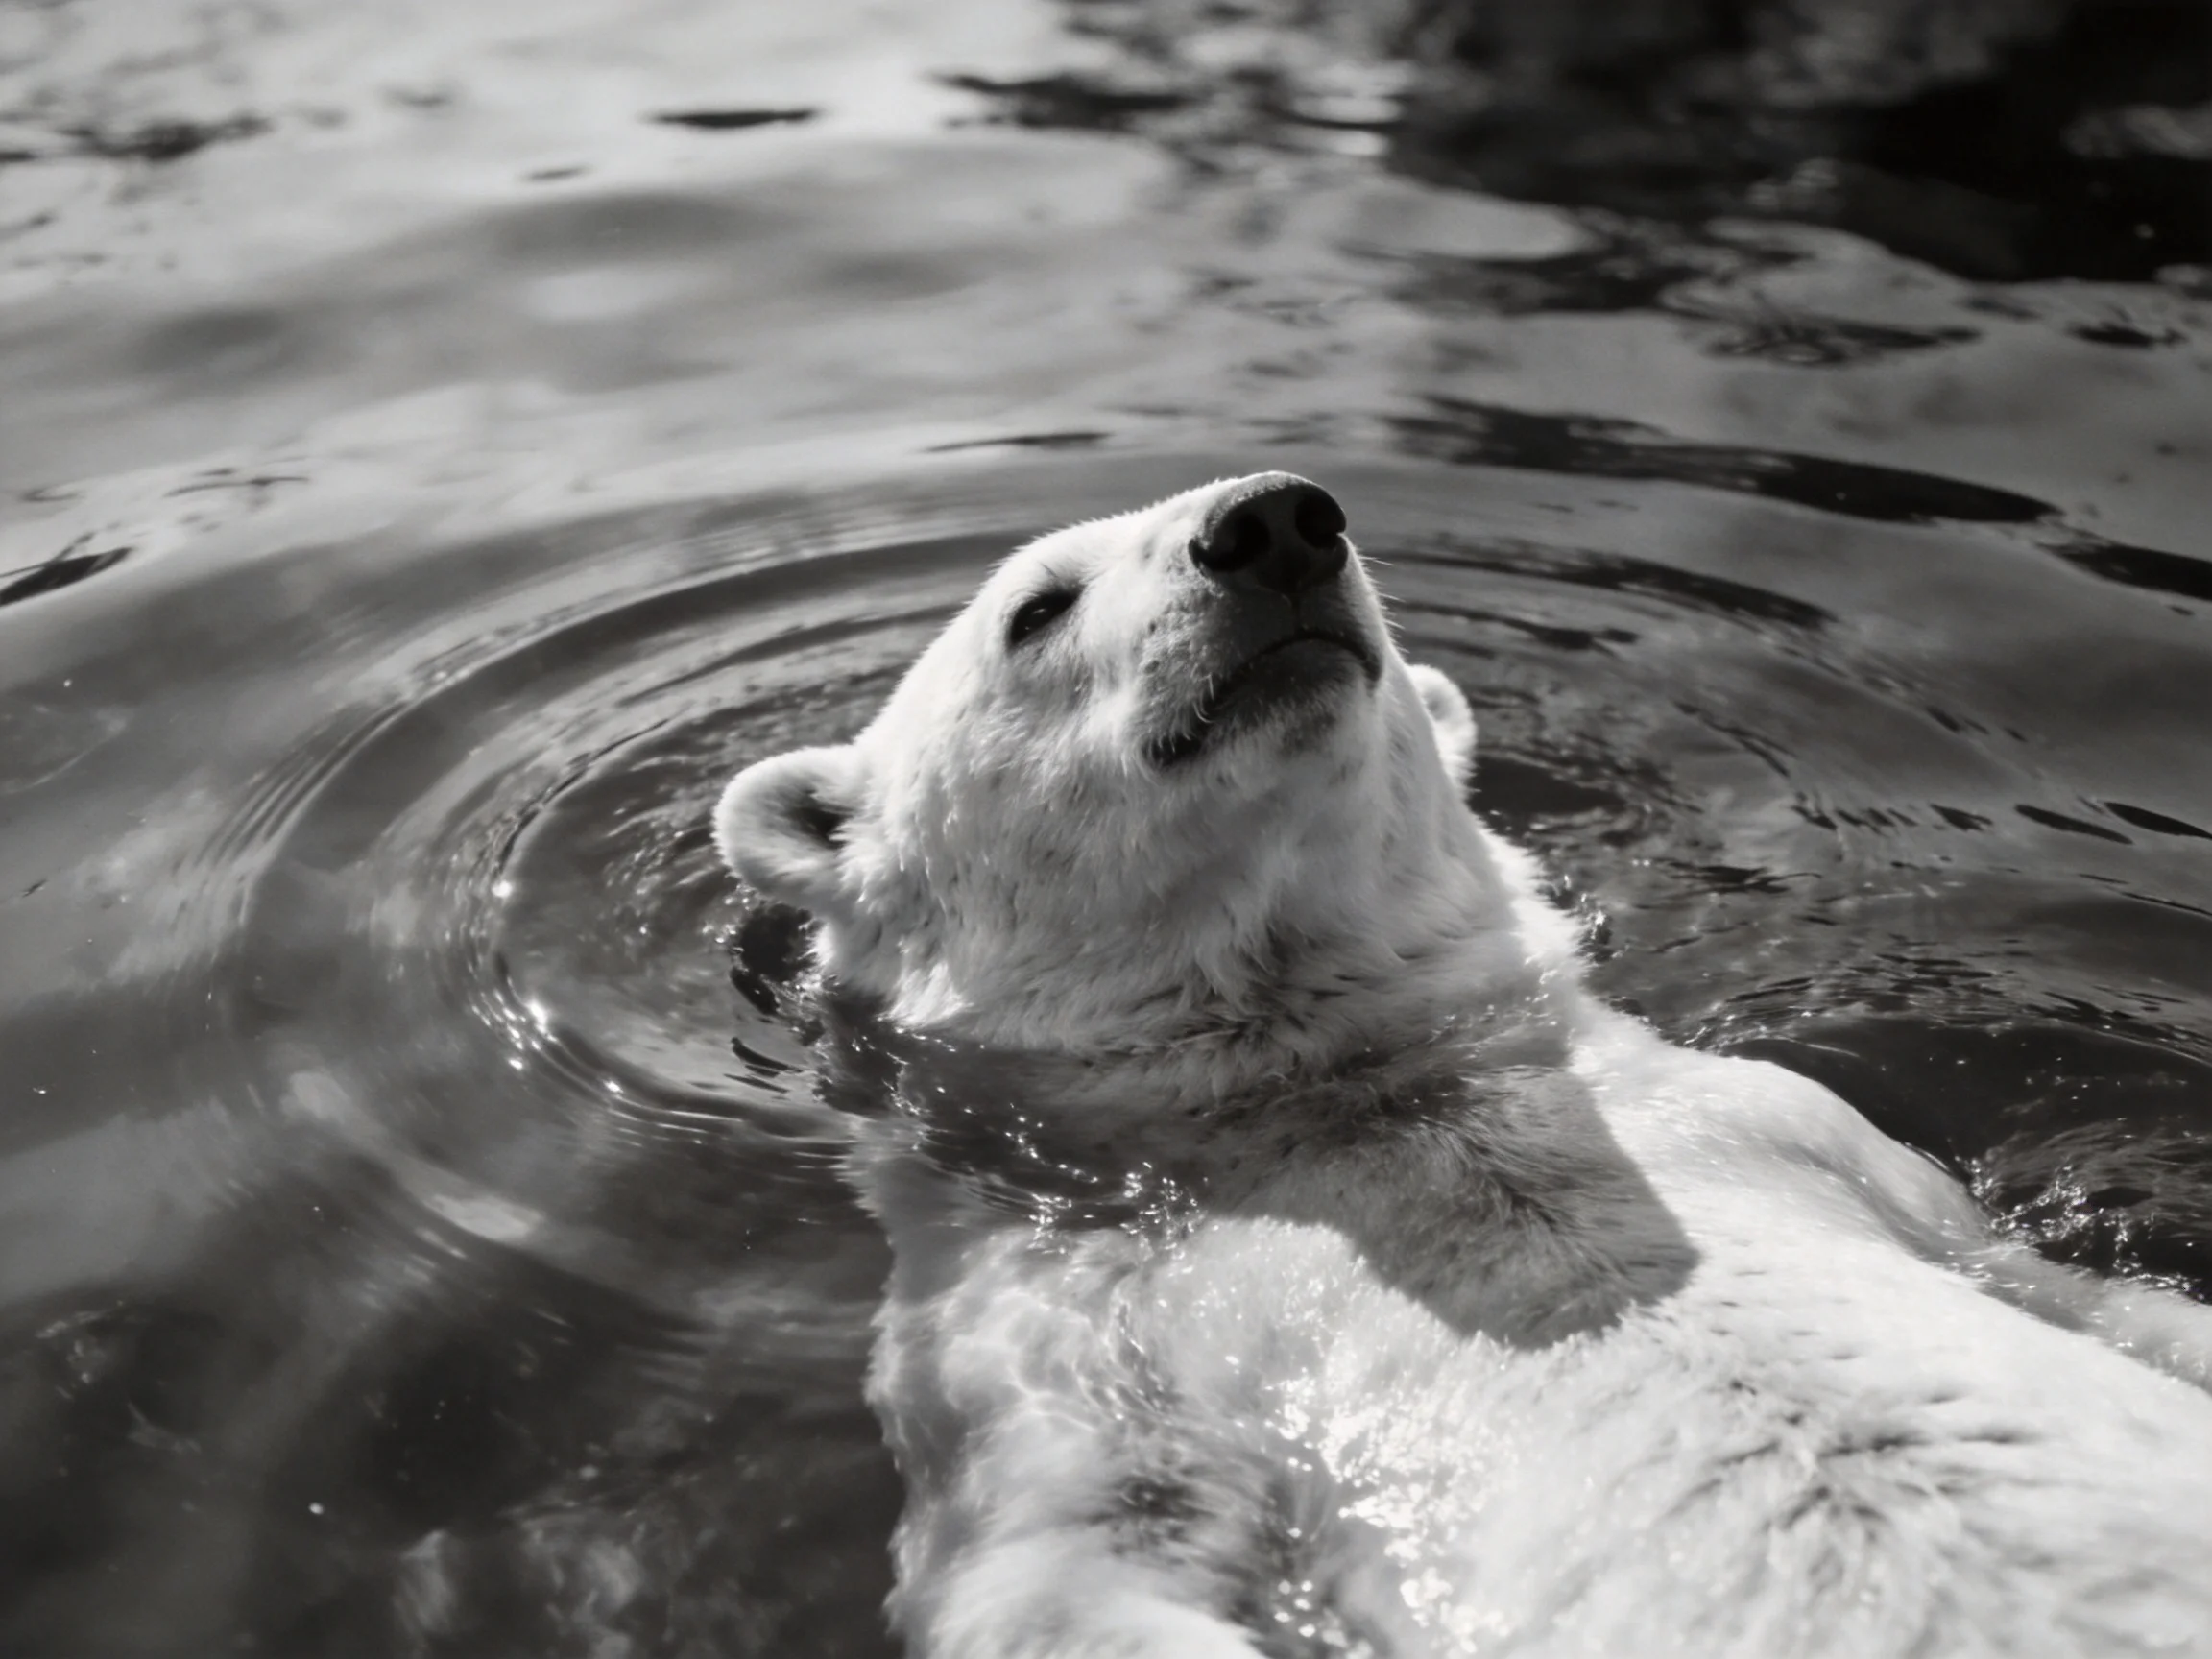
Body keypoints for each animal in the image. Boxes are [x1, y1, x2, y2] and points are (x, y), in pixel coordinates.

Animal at [713, 472, 2212, 1659]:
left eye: (1321, 535)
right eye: (1035, 608)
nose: (1274, 524)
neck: (1347, 1089)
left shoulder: (1791, 1127)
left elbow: (2065, 1289)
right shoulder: (1050, 1322)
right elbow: (1065, 1559)